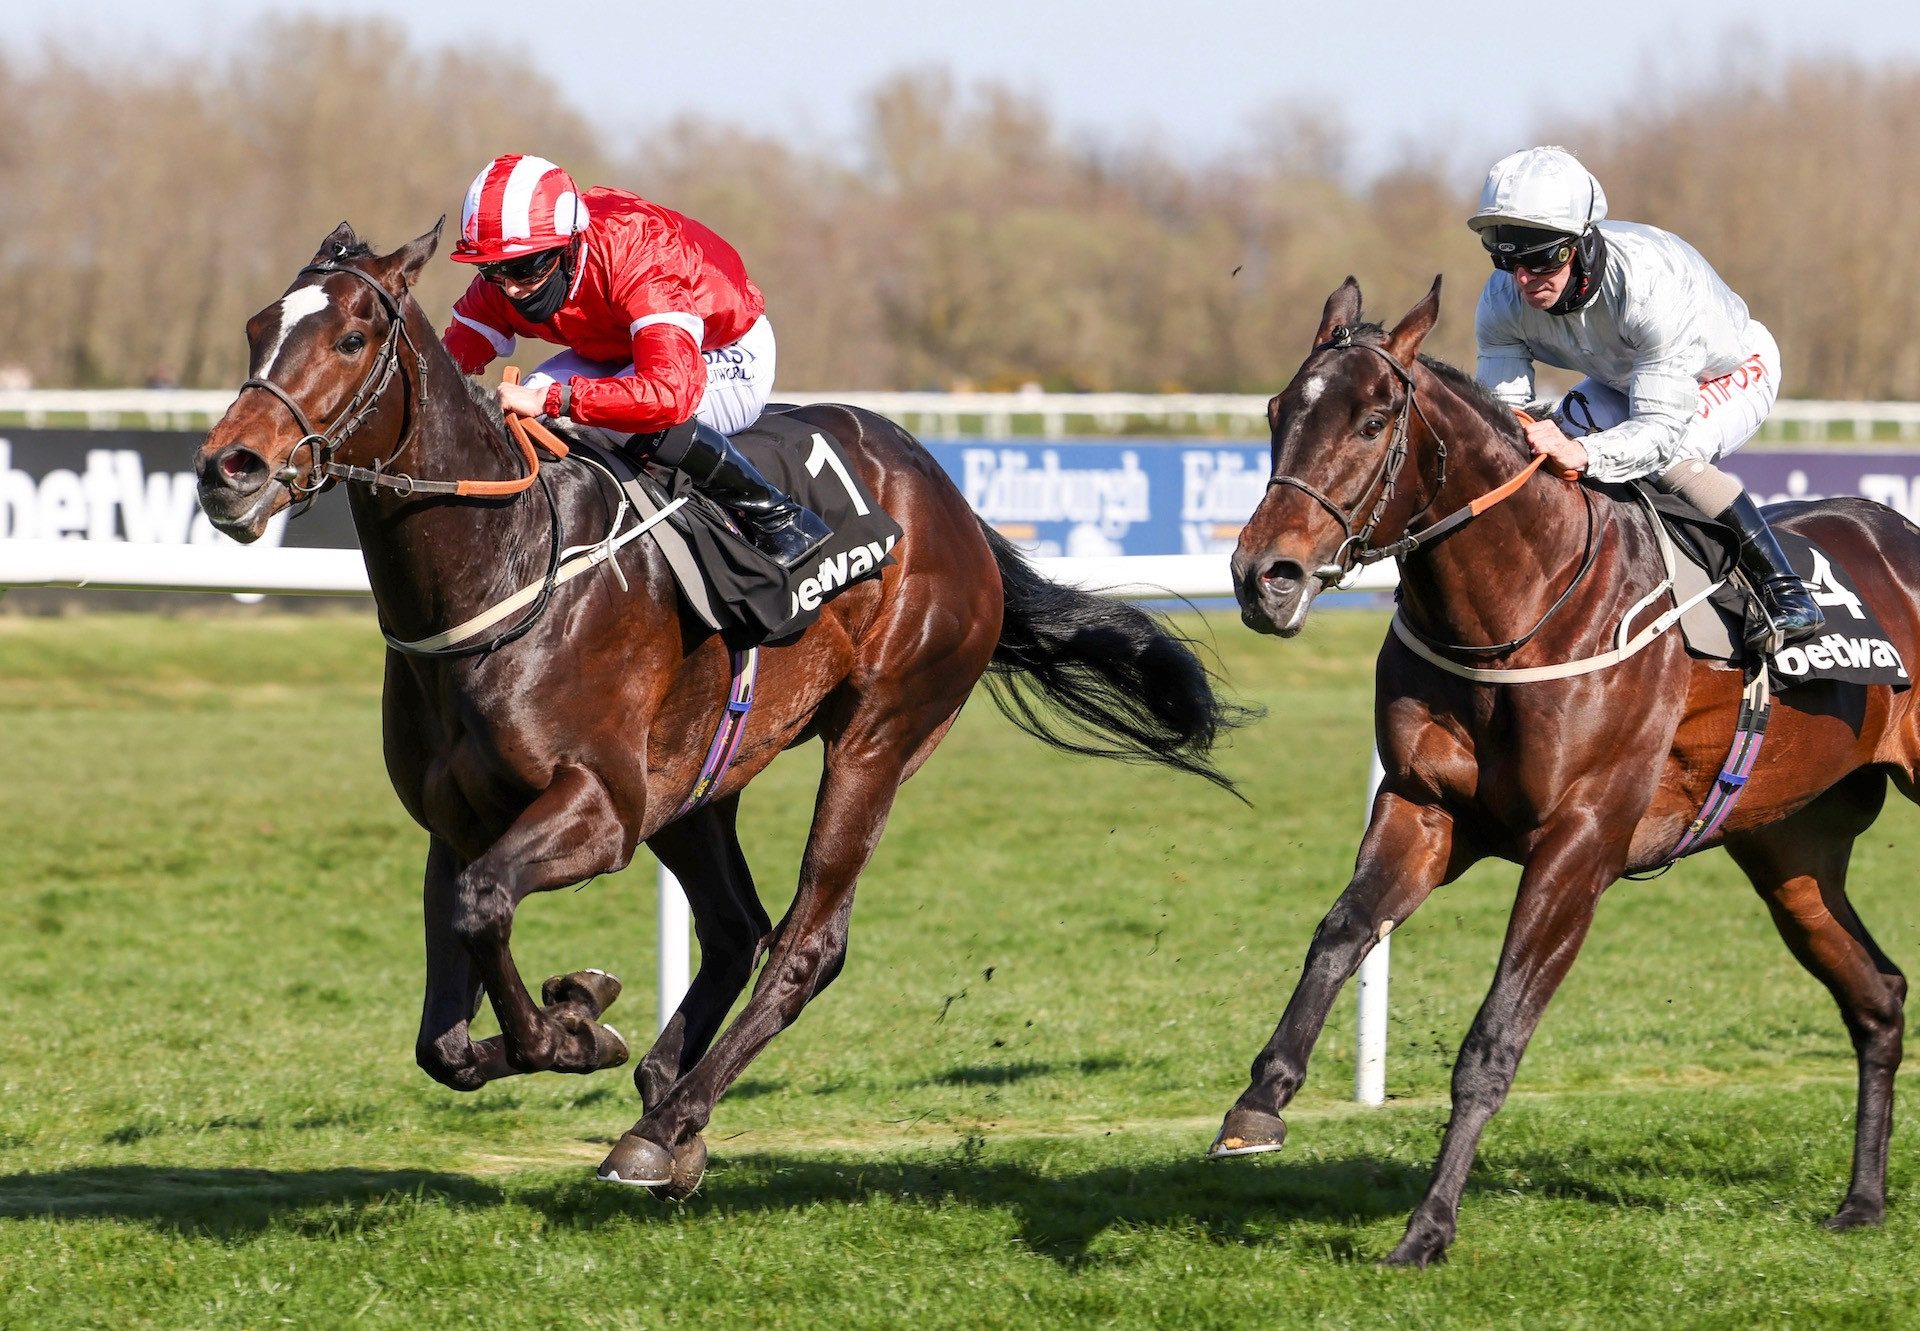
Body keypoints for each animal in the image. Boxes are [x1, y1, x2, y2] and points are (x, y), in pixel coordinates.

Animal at [194, 222, 1244, 1198]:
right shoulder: (456, 821)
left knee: (807, 942)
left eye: (352, 336)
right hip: (697, 782)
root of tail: (946, 494)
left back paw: (666, 1126)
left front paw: (577, 1027)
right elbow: (444, 1032)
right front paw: (583, 1016)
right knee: (737, 926)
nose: (227, 469)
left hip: (878, 734)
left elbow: (485, 908)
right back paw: (666, 1099)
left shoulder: (601, 809)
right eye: (254, 327)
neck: (505, 567)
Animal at [1221, 274, 1912, 1259]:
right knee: (1878, 993)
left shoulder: (1580, 843)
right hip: (1791, 847)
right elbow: (1341, 931)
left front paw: (1427, 1228)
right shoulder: (1425, 807)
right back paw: (1861, 1200)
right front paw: (1259, 1102)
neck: (1521, 606)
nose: (1263, 577)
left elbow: (1493, 1037)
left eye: (1373, 420)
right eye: (1279, 411)